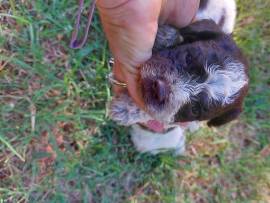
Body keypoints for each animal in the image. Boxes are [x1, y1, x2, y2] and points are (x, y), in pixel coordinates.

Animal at [108, 0, 248, 154]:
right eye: (189, 57)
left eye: (195, 109)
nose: (160, 89)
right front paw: (163, 35)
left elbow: (161, 116)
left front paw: (127, 110)